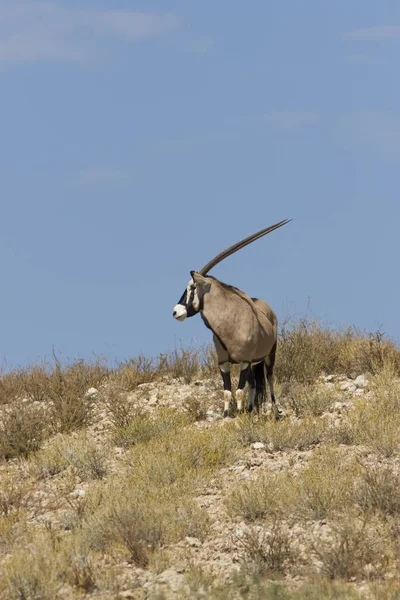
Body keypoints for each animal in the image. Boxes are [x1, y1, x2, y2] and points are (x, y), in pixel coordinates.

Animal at [172, 219, 290, 418]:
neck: (229, 322)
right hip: (254, 363)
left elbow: (240, 390)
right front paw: (228, 414)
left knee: (270, 379)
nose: (175, 311)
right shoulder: (224, 362)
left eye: (192, 287)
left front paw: (239, 412)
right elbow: (228, 391)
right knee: (255, 384)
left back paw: (273, 410)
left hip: (268, 356)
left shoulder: (244, 360)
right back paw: (251, 409)